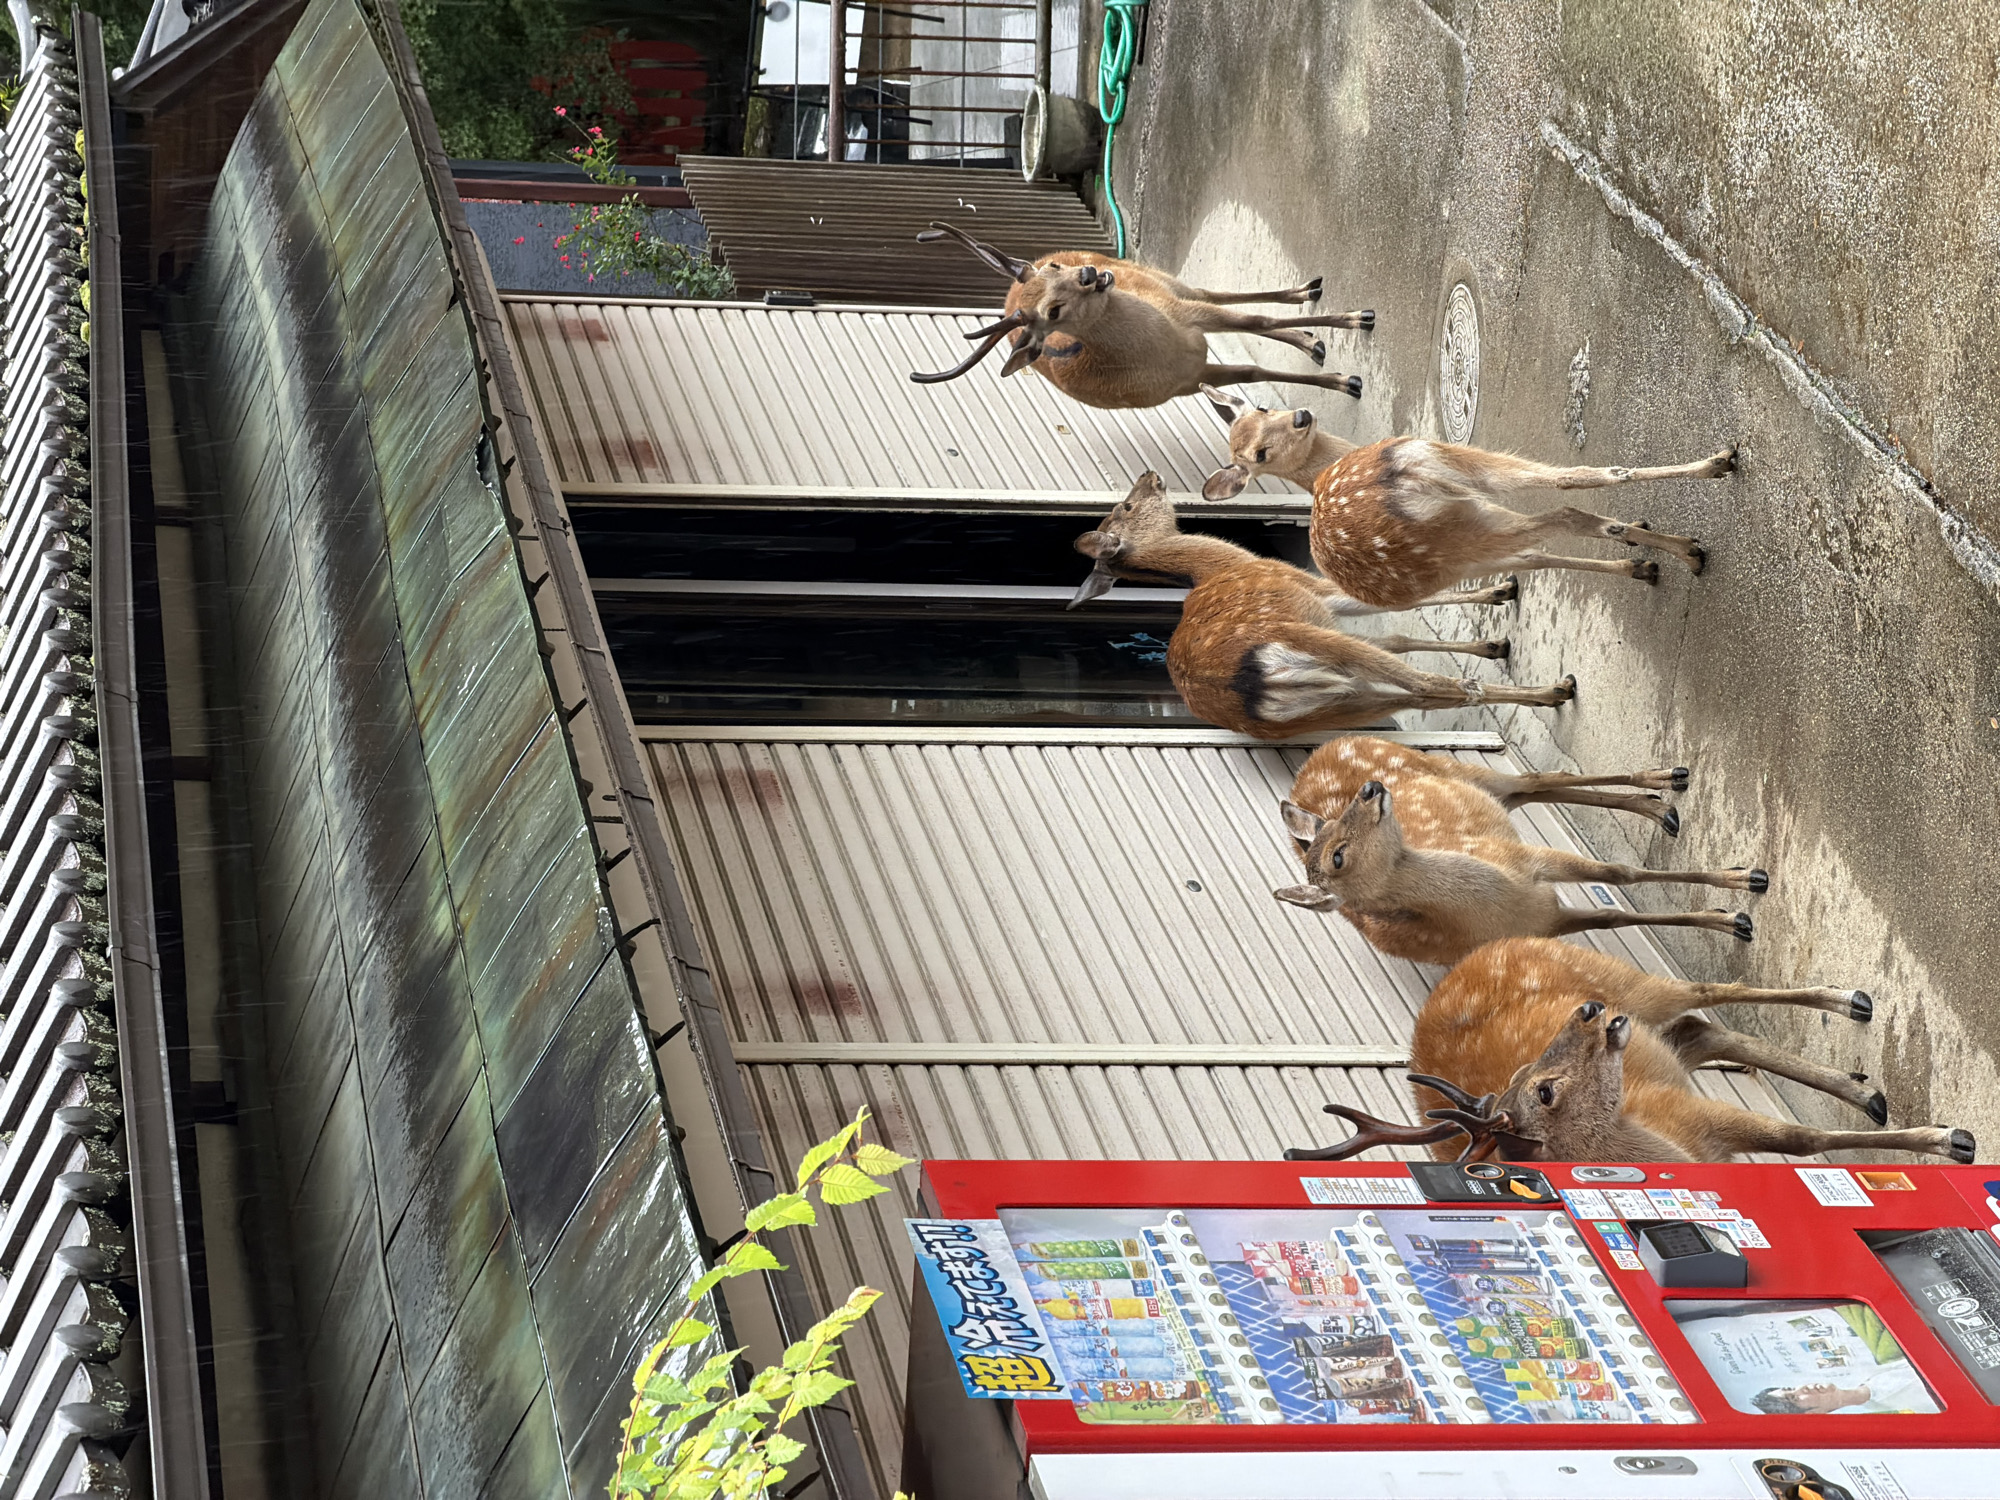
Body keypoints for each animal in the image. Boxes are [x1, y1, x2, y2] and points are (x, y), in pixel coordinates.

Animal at [908, 222, 1375, 409]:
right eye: (1052, 312)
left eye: (1054, 270)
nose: (1089, 274)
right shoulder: (1190, 381)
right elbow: (1253, 369)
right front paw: (1346, 376)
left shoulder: (1186, 318)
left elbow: (1255, 324)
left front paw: (1353, 322)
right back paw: (1313, 334)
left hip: (1161, 282)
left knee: (1213, 292)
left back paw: (1309, 295)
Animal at [1069, 473, 1577, 741]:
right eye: (1126, 507)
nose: (1149, 476)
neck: (1221, 565)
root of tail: (1254, 681)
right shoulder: (1310, 587)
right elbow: (1404, 606)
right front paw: (1501, 597)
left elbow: (1396, 632)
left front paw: (1493, 624)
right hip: (1320, 648)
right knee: (1434, 684)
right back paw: (1557, 690)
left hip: (1344, 703)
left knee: (1419, 691)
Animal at [1199, 386, 1735, 610]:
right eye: (1260, 454)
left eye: (1261, 407)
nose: (1302, 416)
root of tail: (1398, 482)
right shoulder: (1473, 551)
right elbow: (1538, 558)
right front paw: (1638, 556)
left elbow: (1540, 554)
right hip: (1457, 513)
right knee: (1570, 498)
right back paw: (1691, 530)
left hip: (1449, 477)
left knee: (1569, 494)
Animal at [1274, 738, 1764, 964]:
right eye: (1337, 855)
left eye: (1333, 825)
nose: (1370, 789)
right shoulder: (1548, 921)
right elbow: (1613, 914)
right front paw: (1734, 915)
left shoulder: (1530, 859)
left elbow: (1618, 872)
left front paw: (1742, 884)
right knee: (1536, 786)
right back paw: (1663, 803)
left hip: (1453, 767)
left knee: (1540, 777)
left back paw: (1667, 788)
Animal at [1284, 937, 1976, 1166]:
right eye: (1542, 1088)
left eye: (1529, 1072)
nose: (1585, 1012)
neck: (1680, 1150)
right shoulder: (1690, 1115)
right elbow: (1800, 1140)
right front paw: (1952, 1137)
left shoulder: (1699, 1115)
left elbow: (1799, 1139)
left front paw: (1950, 1137)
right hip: (1646, 1021)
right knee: (1700, 1030)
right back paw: (1868, 1086)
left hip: (1625, 979)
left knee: (1709, 992)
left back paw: (1856, 1005)